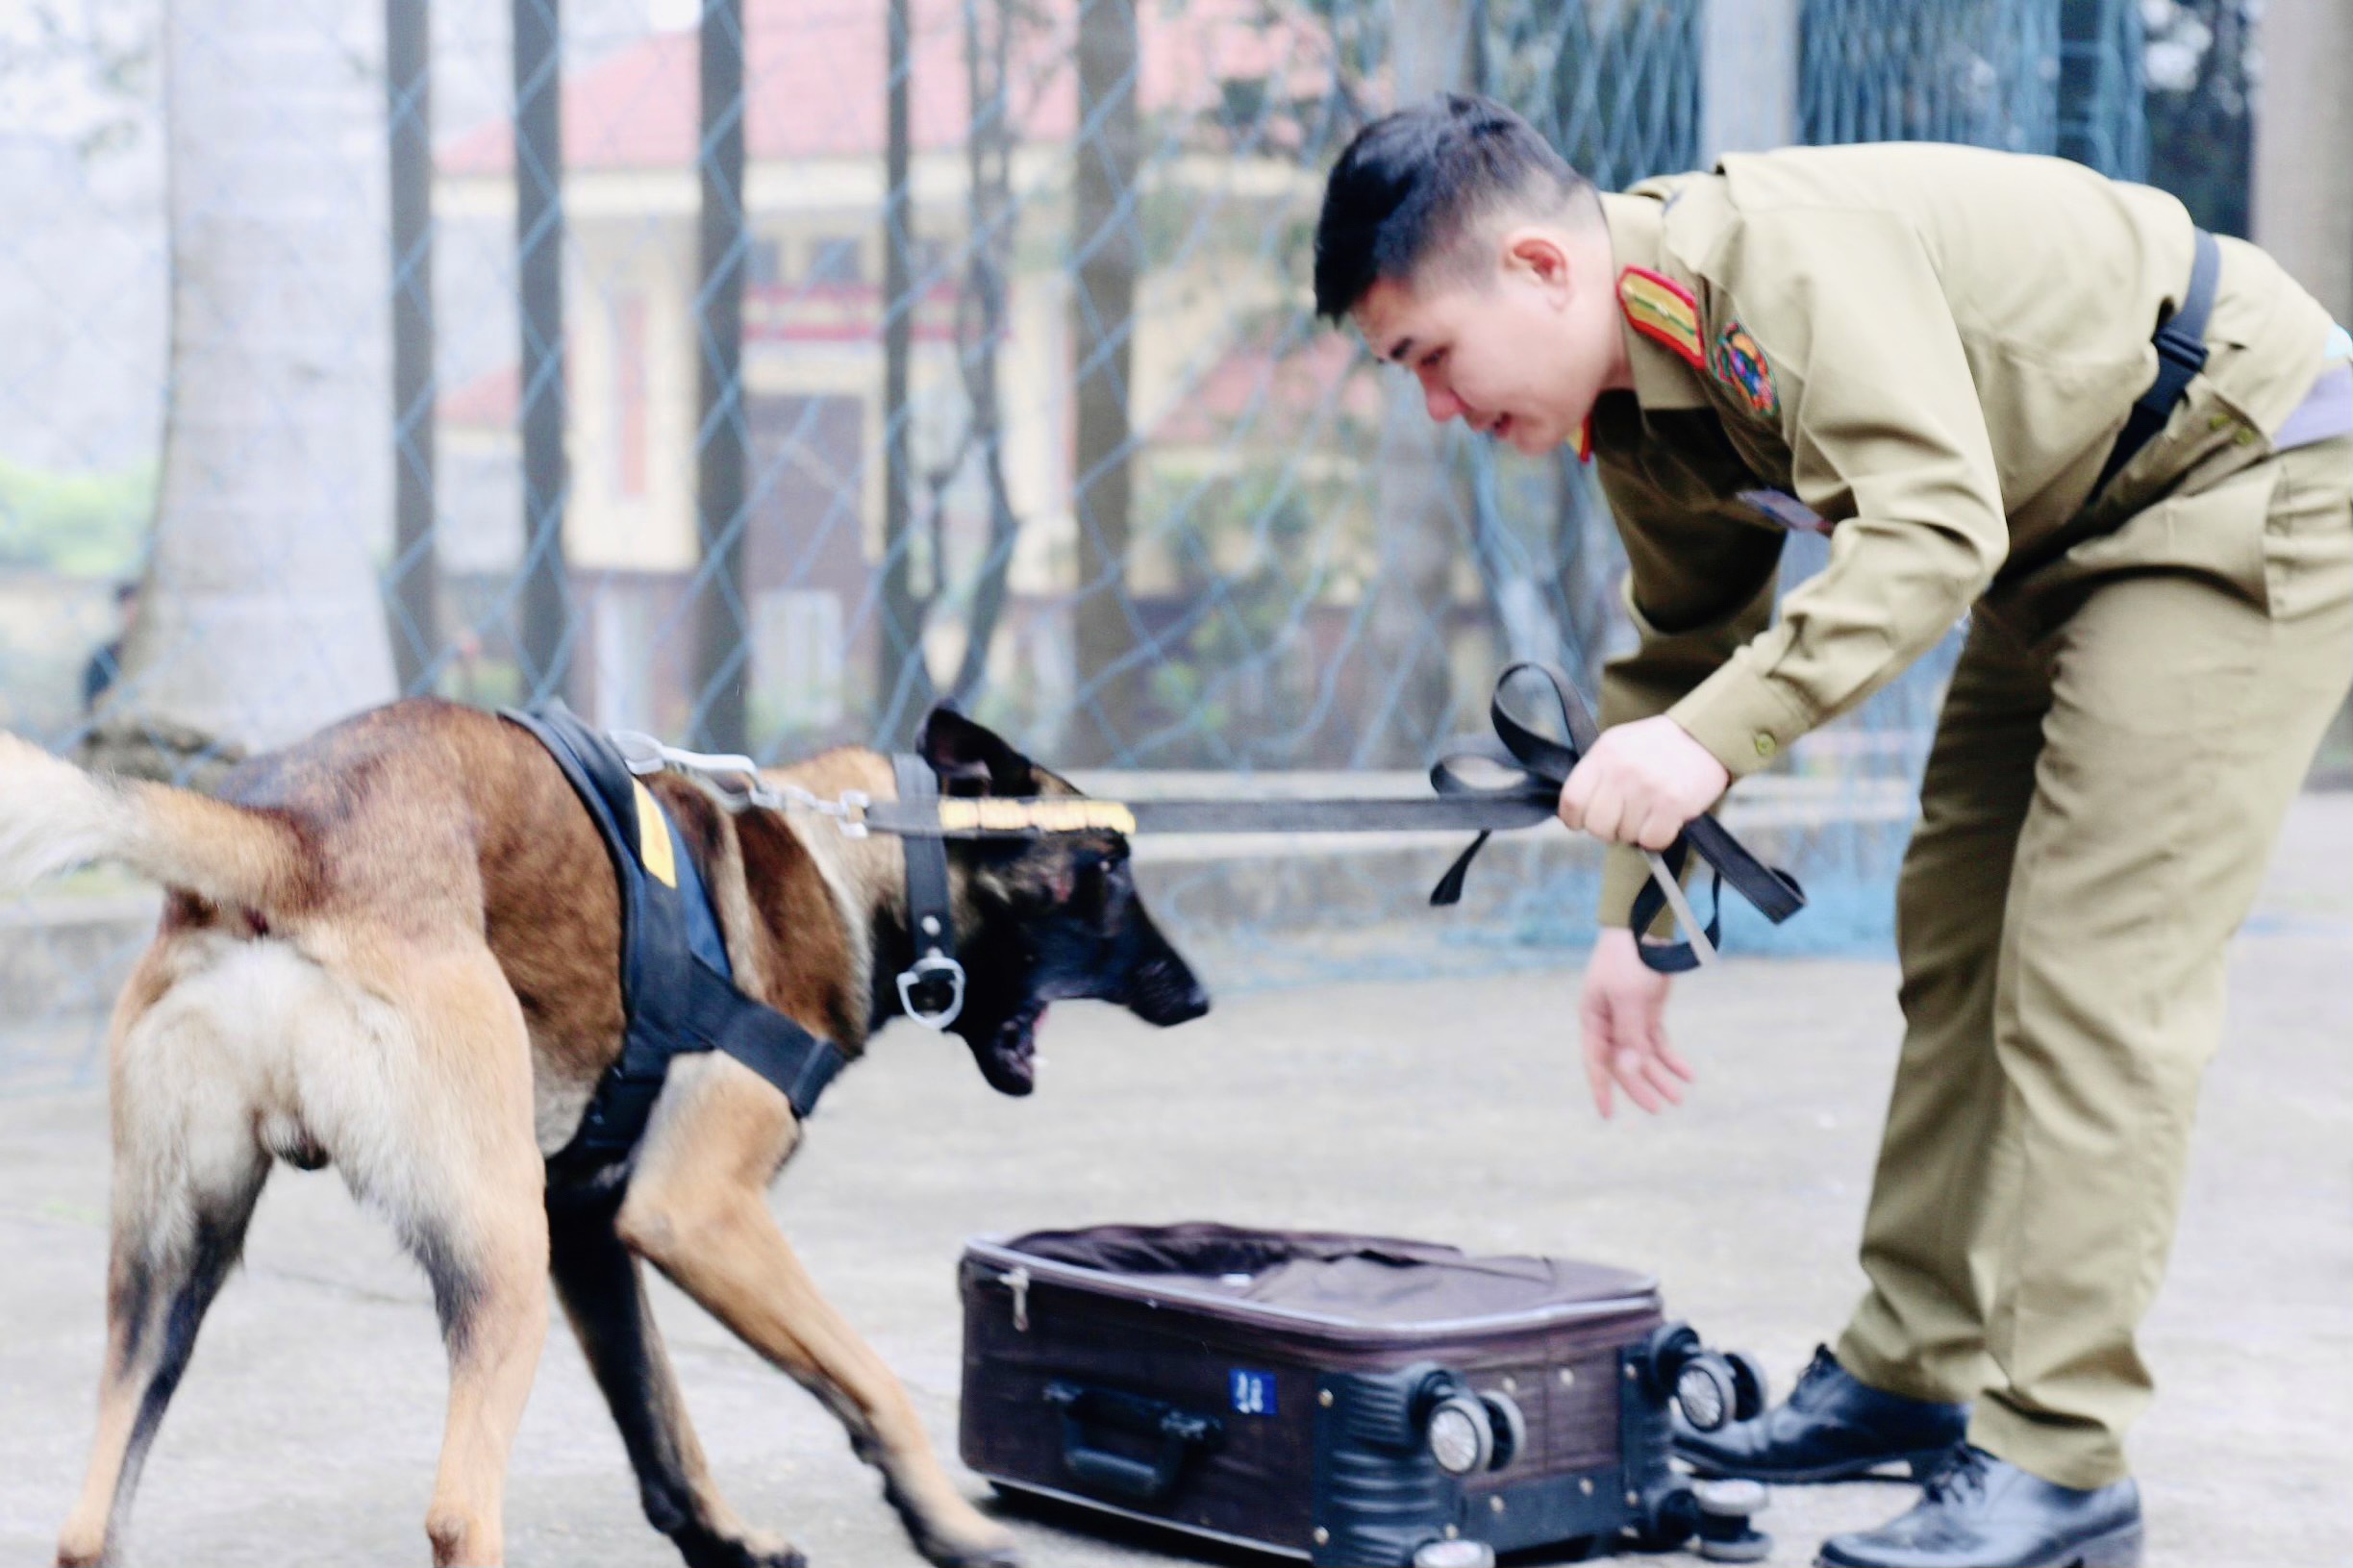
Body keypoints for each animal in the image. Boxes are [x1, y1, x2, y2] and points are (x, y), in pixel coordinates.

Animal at [0, 700, 1204, 1568]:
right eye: (1105, 868)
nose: (1193, 994)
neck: (844, 851)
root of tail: (290, 840)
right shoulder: (696, 1216)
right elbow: (869, 1377)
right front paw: (948, 1526)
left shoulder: (589, 1232)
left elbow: (663, 1427)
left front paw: (727, 1541)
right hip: (497, 1258)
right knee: (458, 1512)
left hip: (173, 1269)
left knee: (89, 1524)